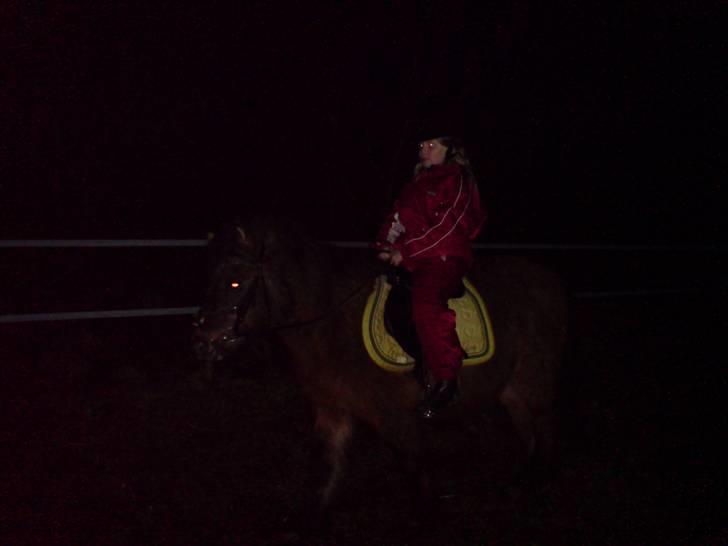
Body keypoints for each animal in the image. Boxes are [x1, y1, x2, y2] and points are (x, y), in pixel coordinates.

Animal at [192, 214, 568, 531]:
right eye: (208, 279)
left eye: (236, 283)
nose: (202, 338)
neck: (330, 322)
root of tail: (549, 281)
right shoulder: (332, 409)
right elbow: (328, 463)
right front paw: (313, 517)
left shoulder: (394, 415)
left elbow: (412, 464)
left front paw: (429, 518)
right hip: (512, 388)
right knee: (528, 430)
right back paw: (522, 480)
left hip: (533, 378)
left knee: (545, 427)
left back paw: (543, 485)